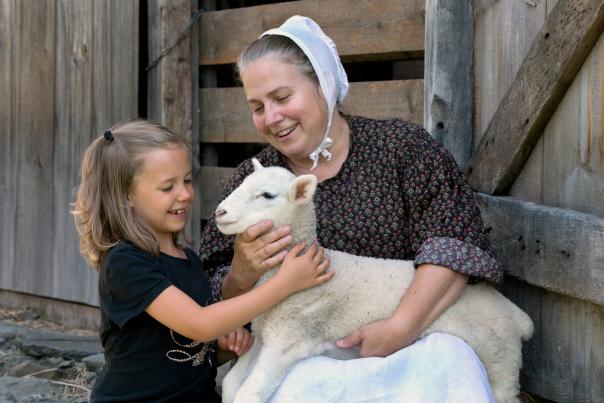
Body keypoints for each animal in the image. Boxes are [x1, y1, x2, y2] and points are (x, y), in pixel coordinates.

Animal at [216, 160, 532, 403]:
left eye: (267, 195)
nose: (219, 212)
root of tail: (518, 317)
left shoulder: (289, 338)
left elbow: (248, 394)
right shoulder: (264, 335)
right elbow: (231, 385)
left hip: (500, 361)